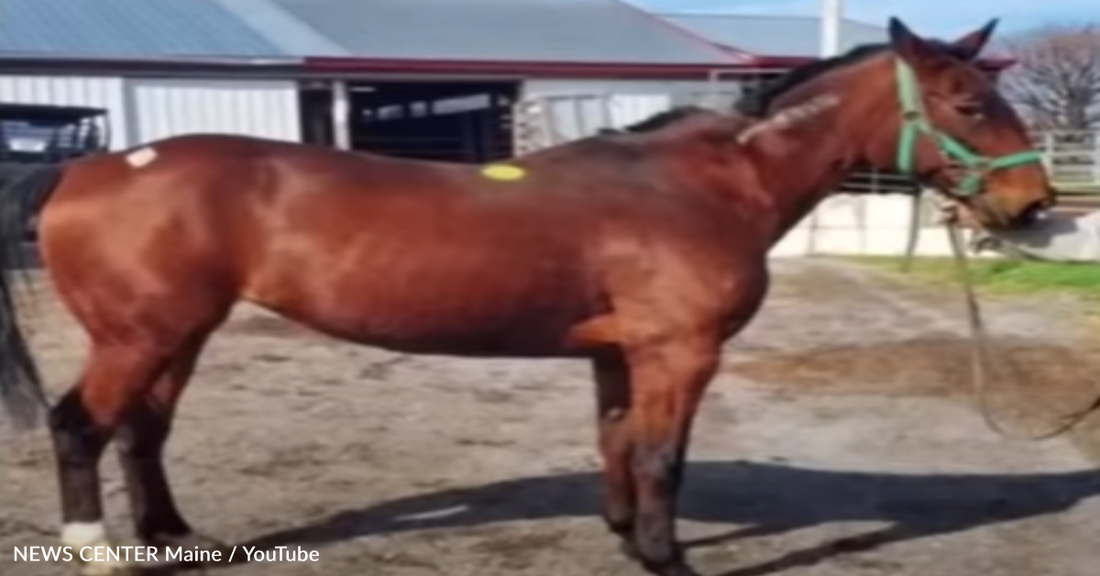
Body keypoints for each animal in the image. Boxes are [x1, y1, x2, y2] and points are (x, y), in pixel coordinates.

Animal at [0, 18, 1051, 576]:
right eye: (969, 104)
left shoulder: (619, 353)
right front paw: (669, 558)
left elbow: (619, 445)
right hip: (140, 334)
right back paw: (98, 548)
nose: (1031, 206)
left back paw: (175, 536)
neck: (696, 187)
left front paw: (628, 540)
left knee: (143, 430)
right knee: (81, 426)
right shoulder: (680, 351)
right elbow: (663, 455)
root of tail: (90, 165)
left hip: (178, 331)